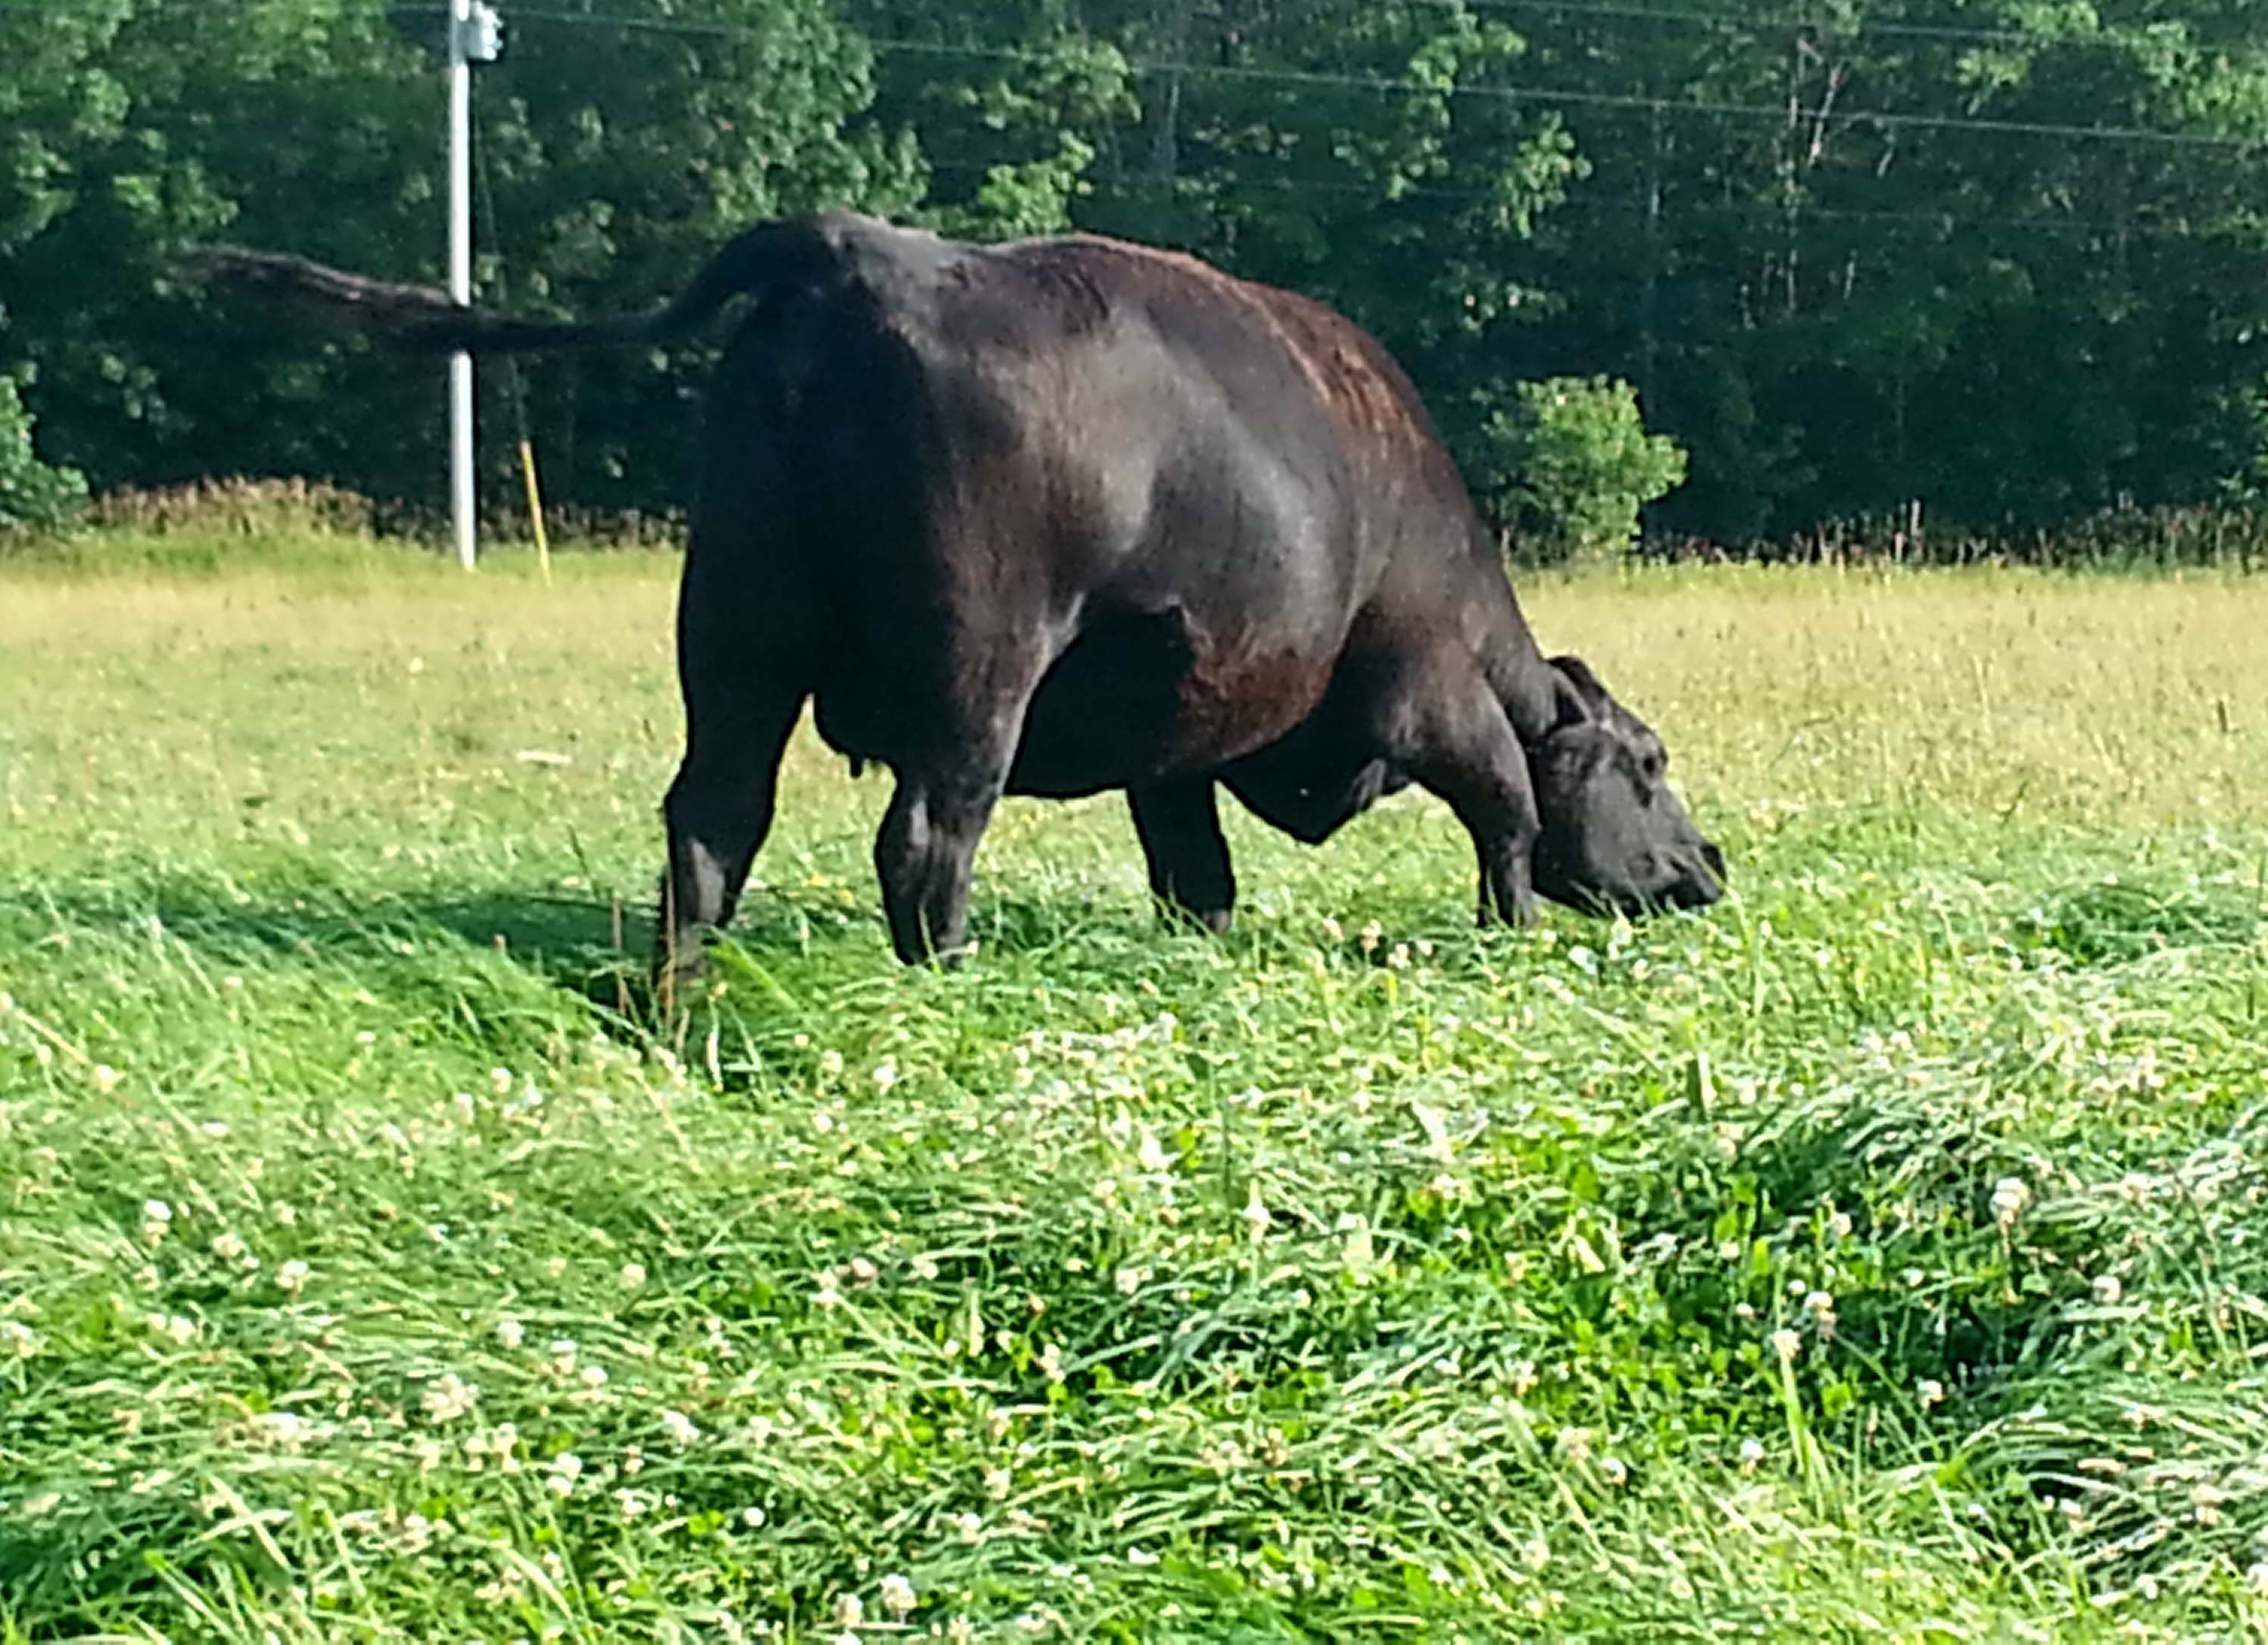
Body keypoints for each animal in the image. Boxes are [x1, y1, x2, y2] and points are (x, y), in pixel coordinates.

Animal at [195, 208, 1723, 975]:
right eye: (1649, 763)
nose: (1708, 866)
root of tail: (854, 248)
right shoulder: (1427, 697)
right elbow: (1508, 819)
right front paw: (1505, 940)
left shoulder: (1175, 741)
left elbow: (1196, 875)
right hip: (975, 671)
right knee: (925, 841)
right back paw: (947, 978)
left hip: (735, 641)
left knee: (710, 823)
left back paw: (677, 1000)